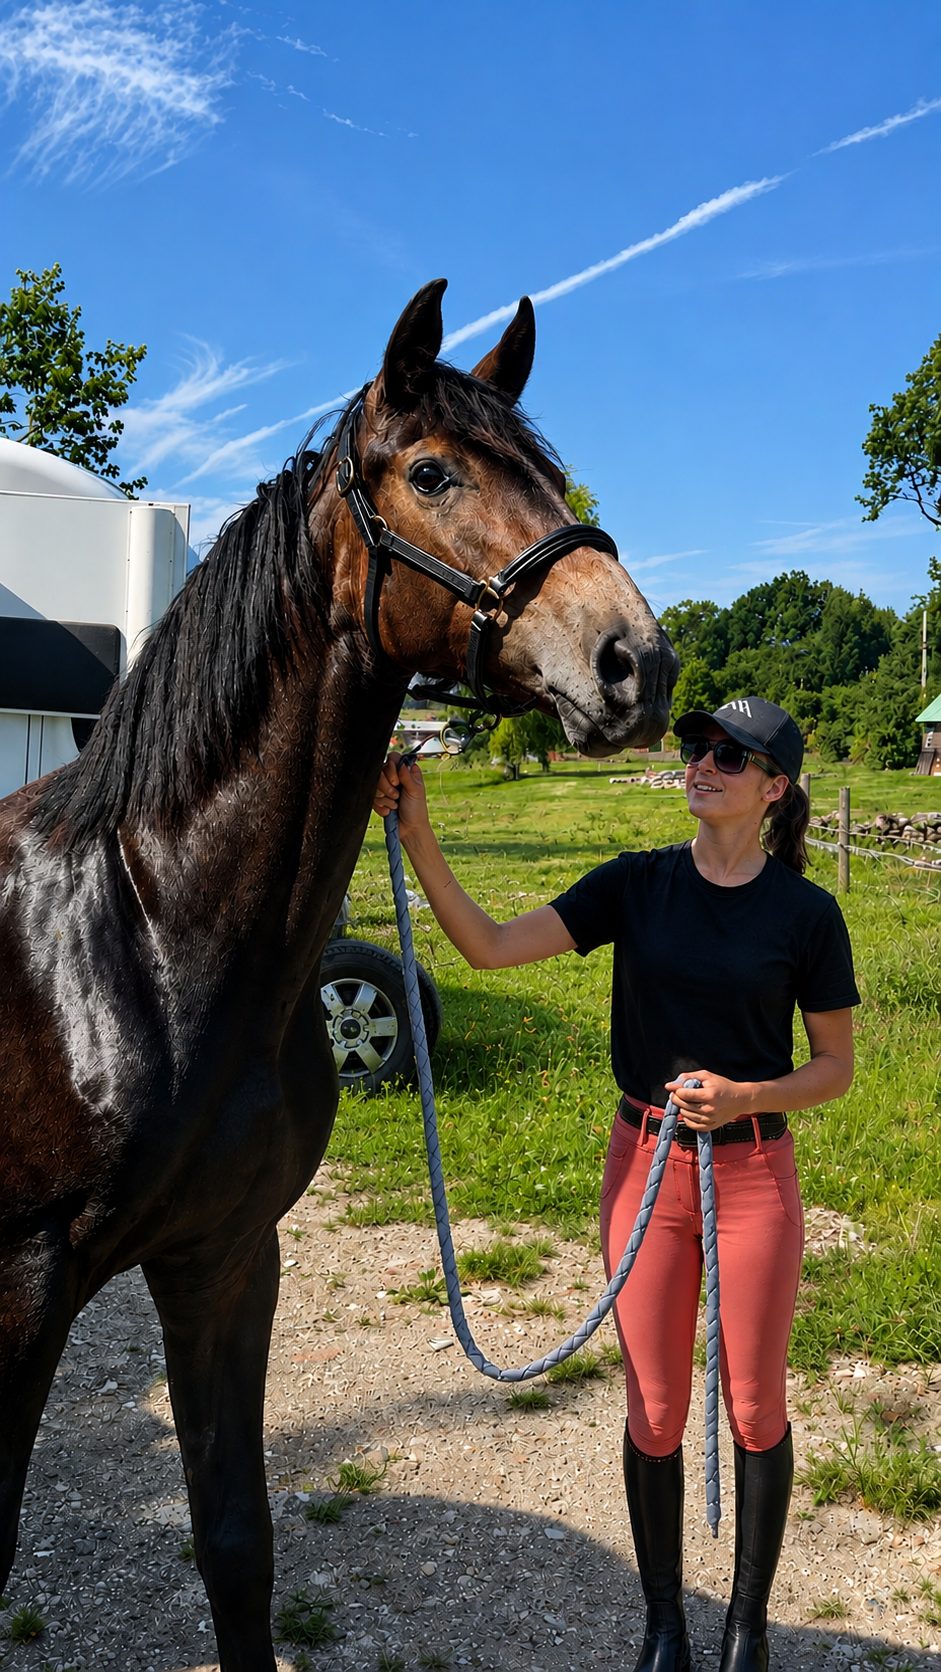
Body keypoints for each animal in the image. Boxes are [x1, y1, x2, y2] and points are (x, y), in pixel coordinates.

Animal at [0, 278, 679, 1668]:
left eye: (552, 473)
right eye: (430, 472)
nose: (635, 660)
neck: (140, 935)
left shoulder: (223, 1257)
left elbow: (235, 1545)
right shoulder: (23, 1288)